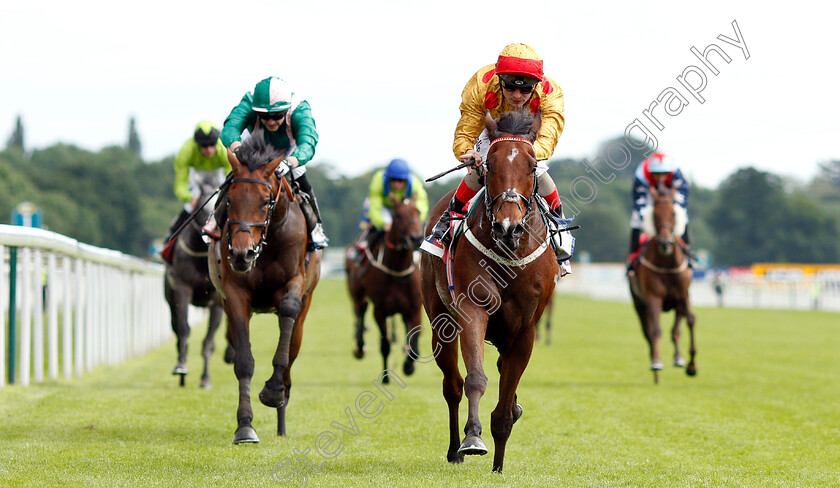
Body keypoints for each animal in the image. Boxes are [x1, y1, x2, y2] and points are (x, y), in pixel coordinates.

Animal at [165, 175, 226, 388]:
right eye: (202, 205)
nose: (210, 230)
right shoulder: (182, 289)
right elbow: (184, 330)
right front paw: (181, 367)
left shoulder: (216, 300)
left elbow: (208, 341)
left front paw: (205, 379)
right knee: (176, 328)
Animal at [208, 133, 322, 442]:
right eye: (230, 199)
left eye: (265, 201)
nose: (241, 254)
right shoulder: (235, 295)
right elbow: (244, 362)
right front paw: (245, 425)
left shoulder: (294, 282)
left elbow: (288, 315)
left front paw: (273, 390)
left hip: (305, 311)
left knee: (291, 353)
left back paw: (281, 413)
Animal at [346, 196, 426, 380]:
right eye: (397, 216)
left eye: (418, 212)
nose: (416, 238)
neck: (397, 269)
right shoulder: (380, 310)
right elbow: (385, 345)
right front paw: (386, 376)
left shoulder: (415, 308)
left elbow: (414, 341)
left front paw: (409, 365)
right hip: (357, 291)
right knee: (360, 310)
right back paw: (360, 347)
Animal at [420, 110, 556, 472]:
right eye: (490, 165)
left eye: (532, 166)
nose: (509, 227)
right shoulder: (472, 310)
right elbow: (475, 380)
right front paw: (472, 438)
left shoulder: (525, 329)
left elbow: (506, 405)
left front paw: (498, 465)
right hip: (439, 320)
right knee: (452, 386)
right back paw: (454, 449)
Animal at [632, 185, 696, 384]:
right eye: (654, 214)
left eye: (673, 213)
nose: (665, 242)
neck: (667, 263)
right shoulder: (653, 297)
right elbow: (655, 331)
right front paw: (656, 363)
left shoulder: (683, 295)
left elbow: (689, 321)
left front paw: (691, 365)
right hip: (639, 303)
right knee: (648, 331)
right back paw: (656, 370)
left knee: (675, 329)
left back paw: (678, 358)